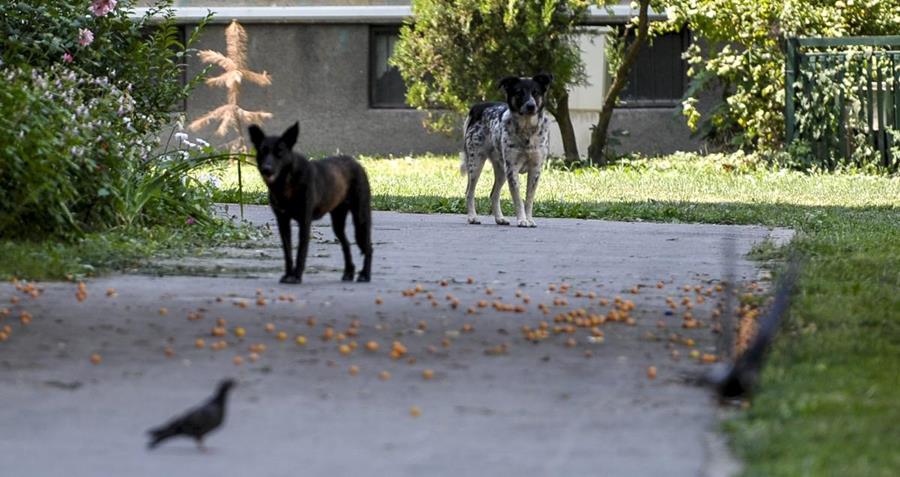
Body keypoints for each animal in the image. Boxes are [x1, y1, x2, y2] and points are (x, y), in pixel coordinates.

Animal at [248, 122, 370, 282]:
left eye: (279, 152)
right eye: (262, 152)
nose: (266, 170)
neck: (287, 182)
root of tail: (356, 163)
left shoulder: (304, 221)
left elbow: (301, 250)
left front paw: (296, 276)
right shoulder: (283, 222)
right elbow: (287, 251)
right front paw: (288, 274)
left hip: (360, 218)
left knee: (368, 246)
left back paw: (365, 274)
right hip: (338, 221)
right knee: (346, 243)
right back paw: (349, 272)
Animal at [460, 73, 552, 228]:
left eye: (536, 92)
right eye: (519, 93)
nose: (531, 106)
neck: (526, 129)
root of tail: (478, 107)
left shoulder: (535, 169)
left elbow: (529, 199)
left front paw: (529, 219)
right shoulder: (512, 169)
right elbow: (518, 199)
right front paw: (522, 220)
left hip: (501, 169)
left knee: (494, 194)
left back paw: (500, 218)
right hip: (476, 163)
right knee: (469, 192)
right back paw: (472, 217)